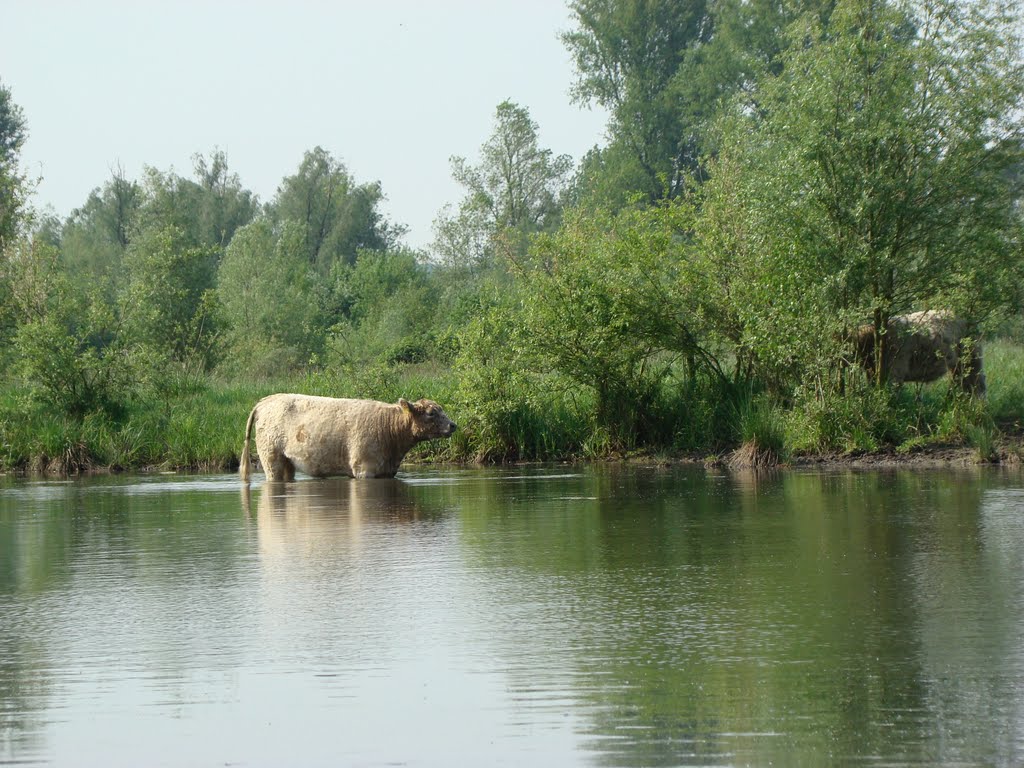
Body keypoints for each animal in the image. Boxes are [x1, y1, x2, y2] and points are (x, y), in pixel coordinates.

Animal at [239, 397, 456, 481]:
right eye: (431, 413)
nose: (453, 425)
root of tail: (265, 401)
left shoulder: (386, 471)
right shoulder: (364, 468)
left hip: (287, 462)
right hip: (271, 457)